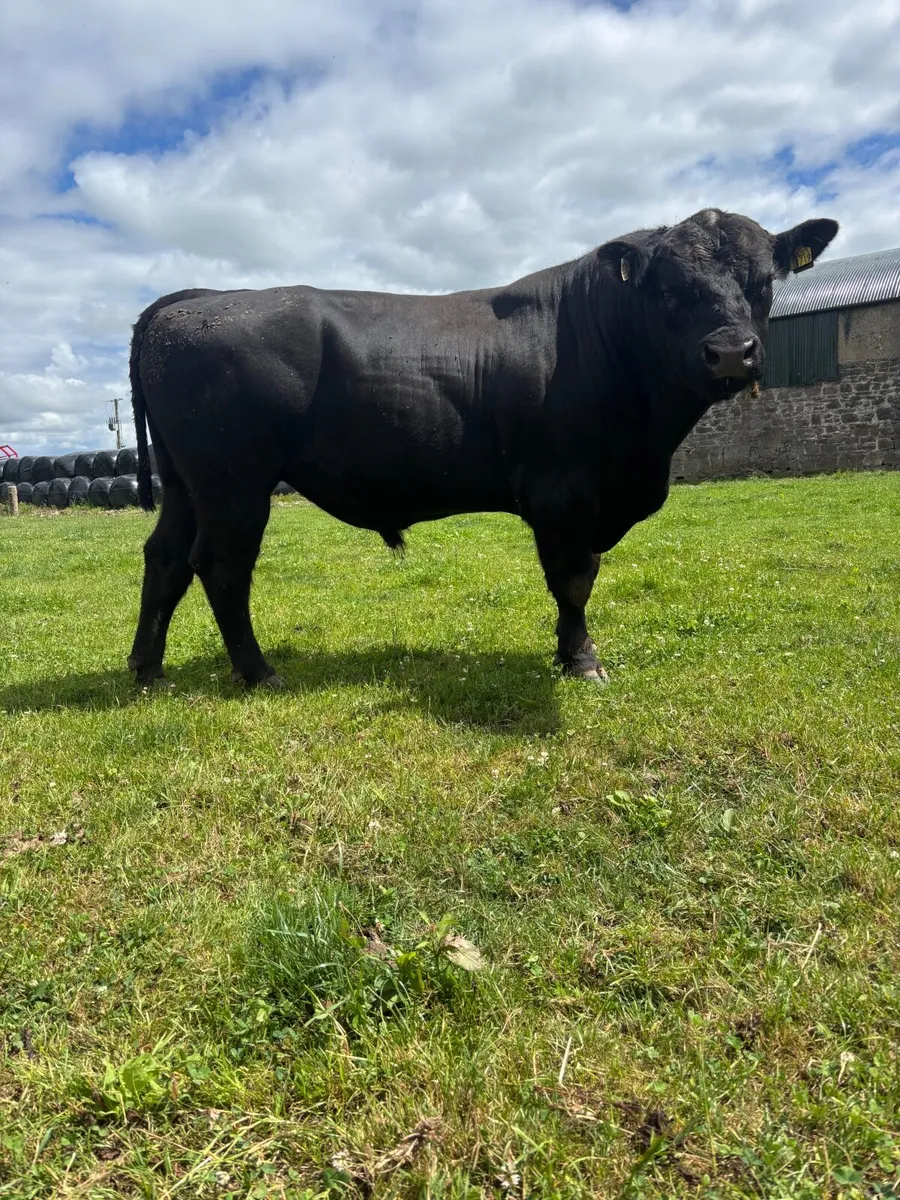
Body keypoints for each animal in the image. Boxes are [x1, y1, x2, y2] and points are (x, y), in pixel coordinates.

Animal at [127, 208, 838, 689]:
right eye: (667, 290)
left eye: (763, 282)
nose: (730, 353)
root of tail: (196, 300)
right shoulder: (562, 491)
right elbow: (574, 579)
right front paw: (582, 660)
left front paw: (567, 653)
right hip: (234, 482)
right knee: (221, 566)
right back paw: (258, 672)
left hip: (186, 482)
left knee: (165, 558)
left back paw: (147, 669)